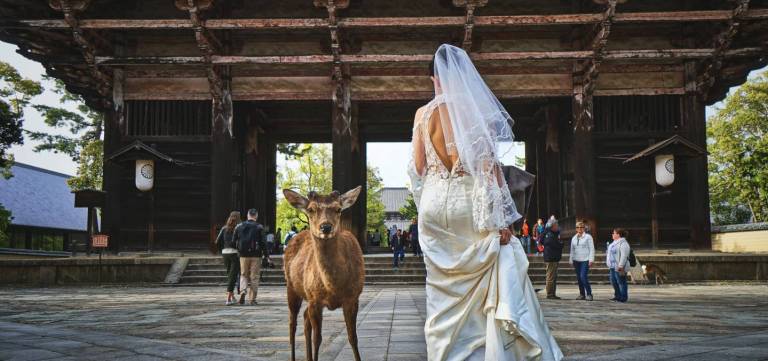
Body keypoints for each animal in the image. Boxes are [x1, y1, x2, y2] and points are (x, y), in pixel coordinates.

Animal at [284, 186, 364, 360]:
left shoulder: (353, 298)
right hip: (291, 288)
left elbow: (353, 337)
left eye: (338, 209)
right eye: (310, 209)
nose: (326, 227)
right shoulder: (315, 300)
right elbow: (318, 339)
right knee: (292, 324)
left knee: (305, 318)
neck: (333, 286)